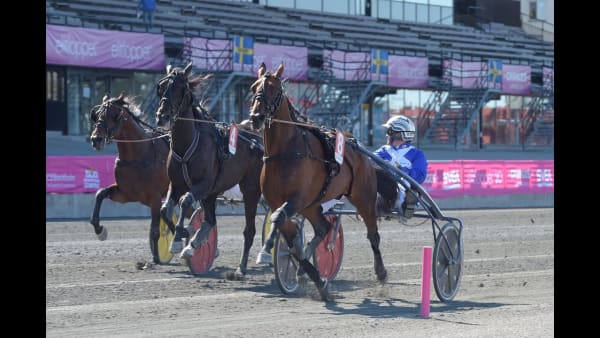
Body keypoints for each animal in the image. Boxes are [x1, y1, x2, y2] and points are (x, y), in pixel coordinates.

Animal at [90, 92, 172, 264]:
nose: (96, 139)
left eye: (114, 115)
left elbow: (155, 229)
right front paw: (100, 230)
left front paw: (156, 257)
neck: (140, 155)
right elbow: (100, 193)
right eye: (97, 114)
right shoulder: (124, 194)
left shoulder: (155, 197)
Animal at [156, 62, 264, 276]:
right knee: (210, 221)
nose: (161, 116)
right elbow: (165, 209)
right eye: (161, 88)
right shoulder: (177, 184)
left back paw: (242, 267)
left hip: (250, 190)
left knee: (249, 230)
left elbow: (185, 201)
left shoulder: (203, 184)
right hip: (212, 194)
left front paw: (179, 238)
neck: (187, 144)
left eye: (179, 88)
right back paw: (194, 244)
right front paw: (183, 235)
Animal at [248, 63, 390, 302]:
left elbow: (278, 219)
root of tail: (355, 143)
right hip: (312, 205)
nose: (256, 117)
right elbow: (292, 242)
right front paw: (317, 280)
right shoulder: (278, 202)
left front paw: (266, 250)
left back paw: (381, 273)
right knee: (324, 227)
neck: (284, 152)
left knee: (373, 233)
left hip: (363, 197)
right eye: (253, 88)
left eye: (274, 89)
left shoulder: (295, 200)